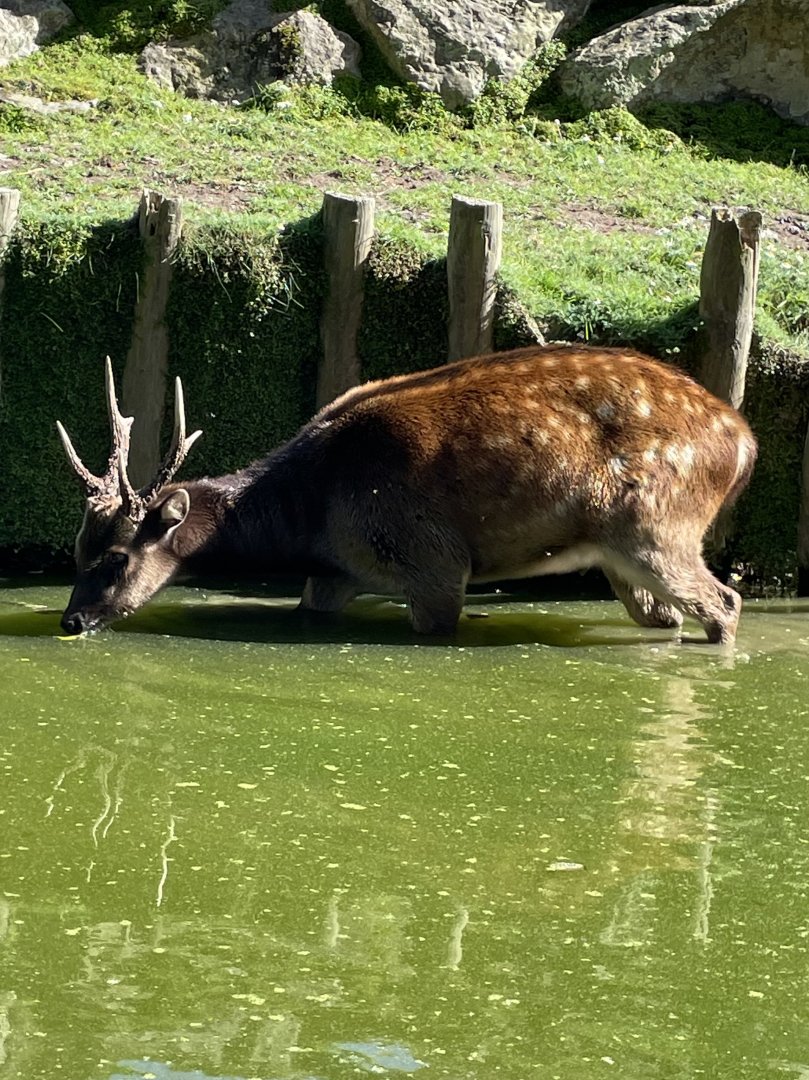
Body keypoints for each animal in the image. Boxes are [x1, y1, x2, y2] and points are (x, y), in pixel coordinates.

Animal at [57, 346, 757, 643]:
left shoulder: (434, 561)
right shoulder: (336, 573)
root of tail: (744, 443)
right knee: (668, 615)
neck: (317, 514)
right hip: (619, 557)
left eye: (116, 558)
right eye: (75, 550)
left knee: (724, 601)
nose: (71, 619)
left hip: (657, 528)